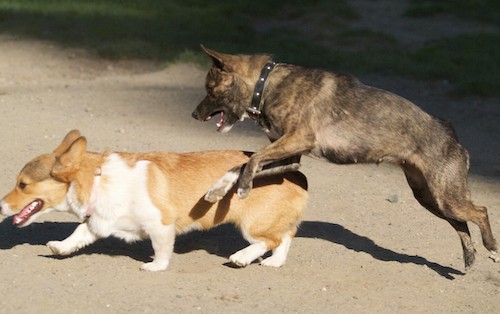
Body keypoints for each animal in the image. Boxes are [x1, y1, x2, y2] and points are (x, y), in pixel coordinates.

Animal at [190, 46, 496, 270]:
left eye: (210, 89)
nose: (193, 115)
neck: (266, 85)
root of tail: (451, 133)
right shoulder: (290, 158)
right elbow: (241, 165)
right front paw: (219, 188)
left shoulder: (298, 140)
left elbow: (251, 162)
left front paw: (243, 188)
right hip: (429, 197)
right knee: (461, 224)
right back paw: (470, 257)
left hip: (446, 196)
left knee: (480, 211)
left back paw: (491, 246)